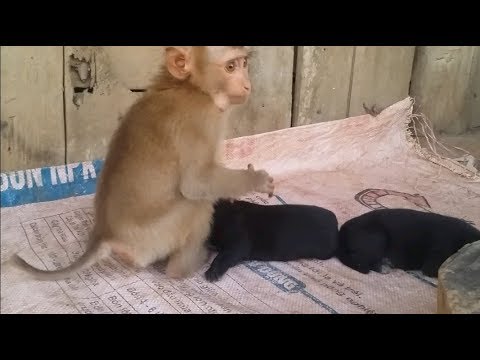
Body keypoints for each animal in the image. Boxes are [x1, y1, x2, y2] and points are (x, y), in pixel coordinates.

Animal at [10, 45, 274, 282]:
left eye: (244, 63)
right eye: (230, 67)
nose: (247, 85)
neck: (189, 86)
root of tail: (105, 233)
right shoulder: (201, 119)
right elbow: (196, 183)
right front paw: (257, 179)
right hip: (157, 234)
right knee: (198, 205)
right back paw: (186, 267)